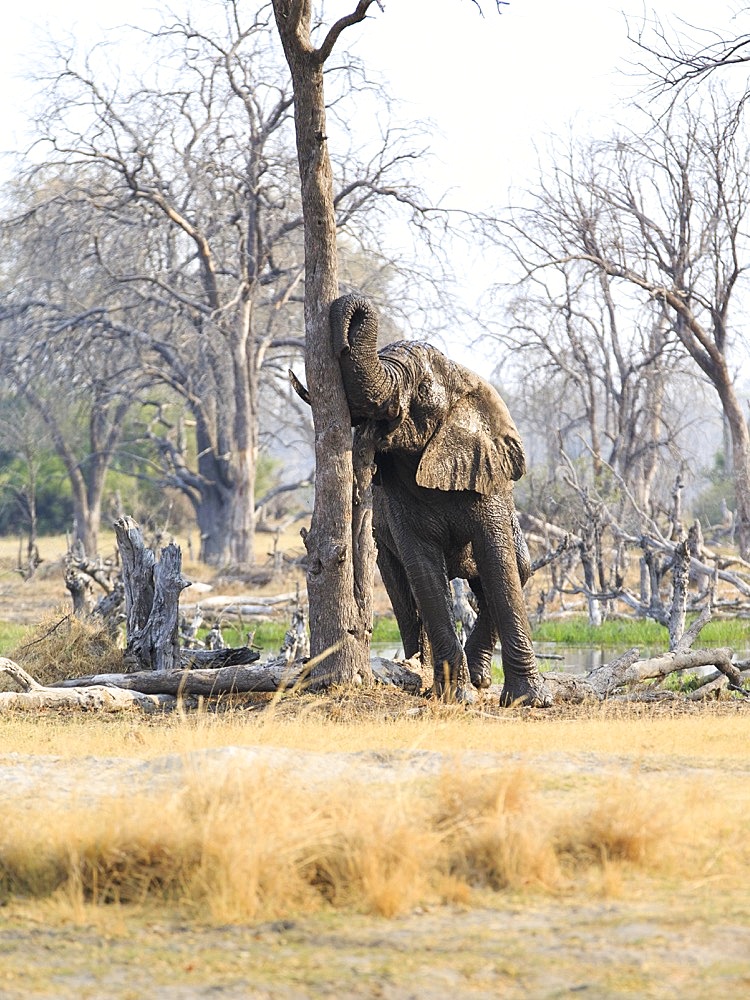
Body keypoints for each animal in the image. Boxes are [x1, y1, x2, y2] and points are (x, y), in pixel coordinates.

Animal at [332, 292, 556, 708]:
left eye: (421, 389)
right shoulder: (397, 500)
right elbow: (424, 569)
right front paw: (455, 697)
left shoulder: (487, 475)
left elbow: (500, 563)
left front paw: (531, 701)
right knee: (404, 593)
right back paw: (417, 668)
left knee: (516, 568)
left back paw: (480, 677)